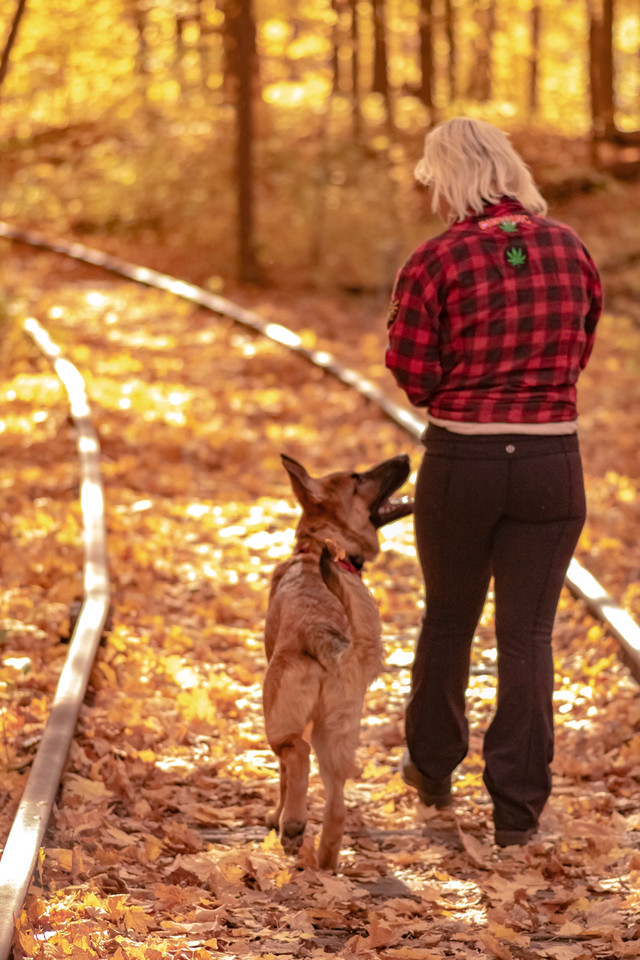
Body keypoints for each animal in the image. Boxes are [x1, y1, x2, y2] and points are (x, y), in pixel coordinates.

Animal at [262, 452, 412, 872]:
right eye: (358, 477)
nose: (405, 456)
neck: (314, 550)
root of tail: (325, 637)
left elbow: (283, 777)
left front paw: (277, 816)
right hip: (338, 738)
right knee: (337, 805)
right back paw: (326, 858)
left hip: (280, 722)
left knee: (296, 756)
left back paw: (293, 825)